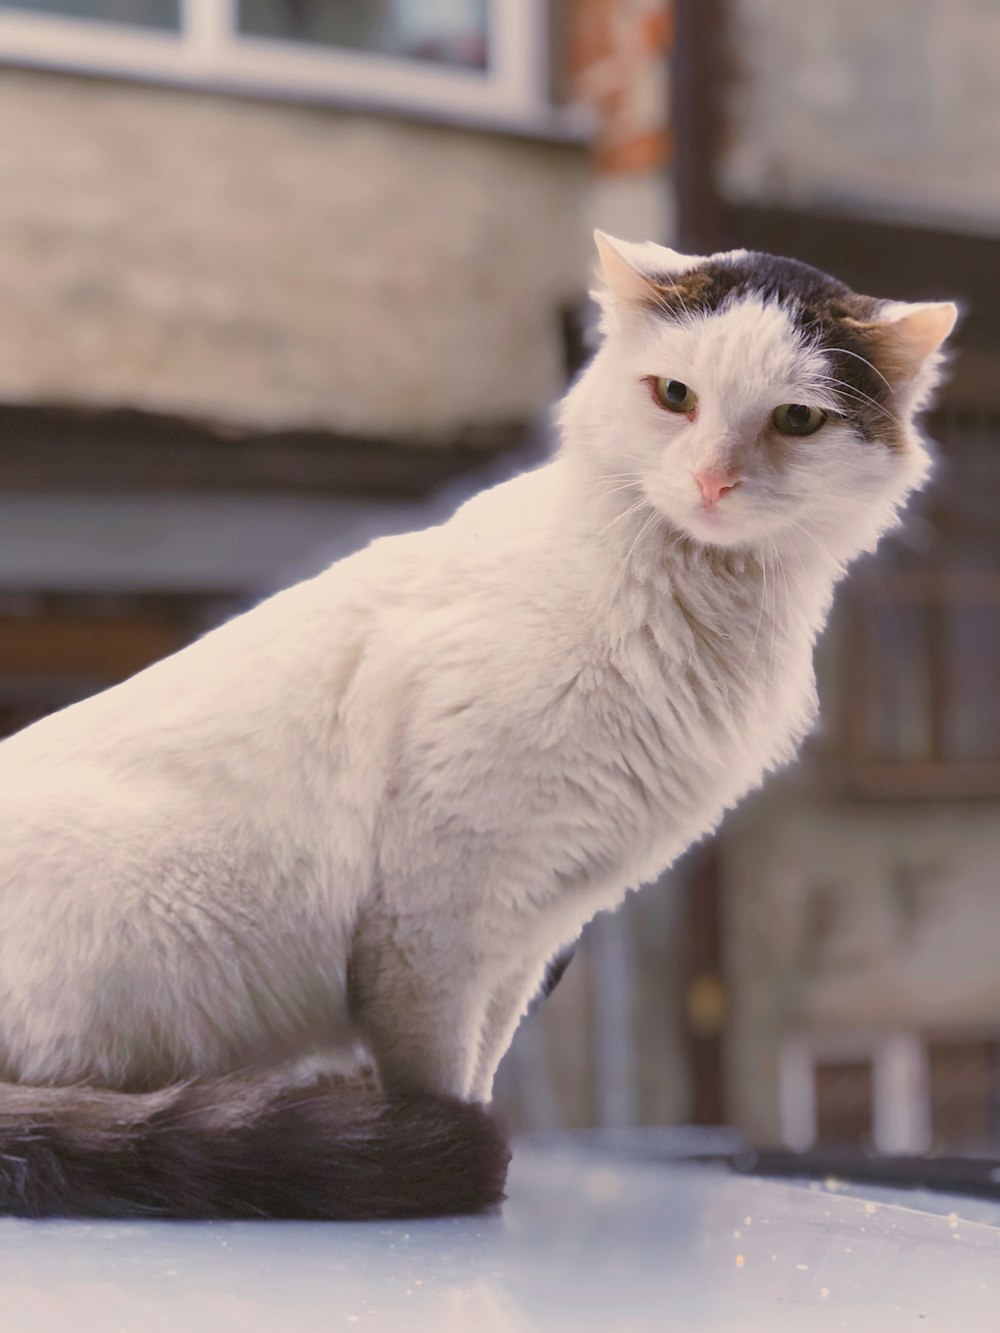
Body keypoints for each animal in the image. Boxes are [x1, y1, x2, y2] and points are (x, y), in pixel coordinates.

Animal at [0, 234, 960, 1215]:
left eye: (797, 420)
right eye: (675, 395)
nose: (711, 481)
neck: (694, 600)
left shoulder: (534, 922)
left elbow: (484, 1056)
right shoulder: (436, 910)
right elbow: (437, 1069)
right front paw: (442, 1152)